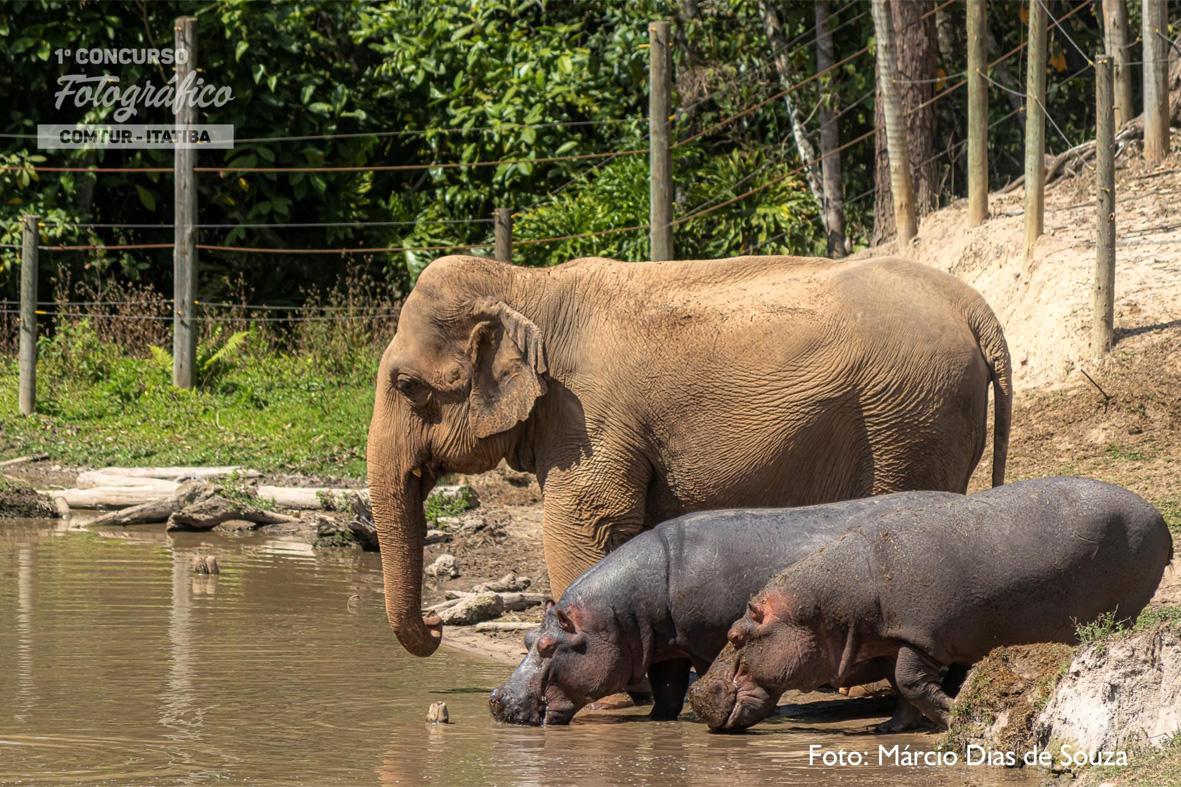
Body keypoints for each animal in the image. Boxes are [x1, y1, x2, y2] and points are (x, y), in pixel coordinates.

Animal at [363, 254, 1010, 652]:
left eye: (407, 386)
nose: (437, 624)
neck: (528, 284)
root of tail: (977, 308)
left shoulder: (589, 415)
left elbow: (583, 527)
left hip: (909, 417)